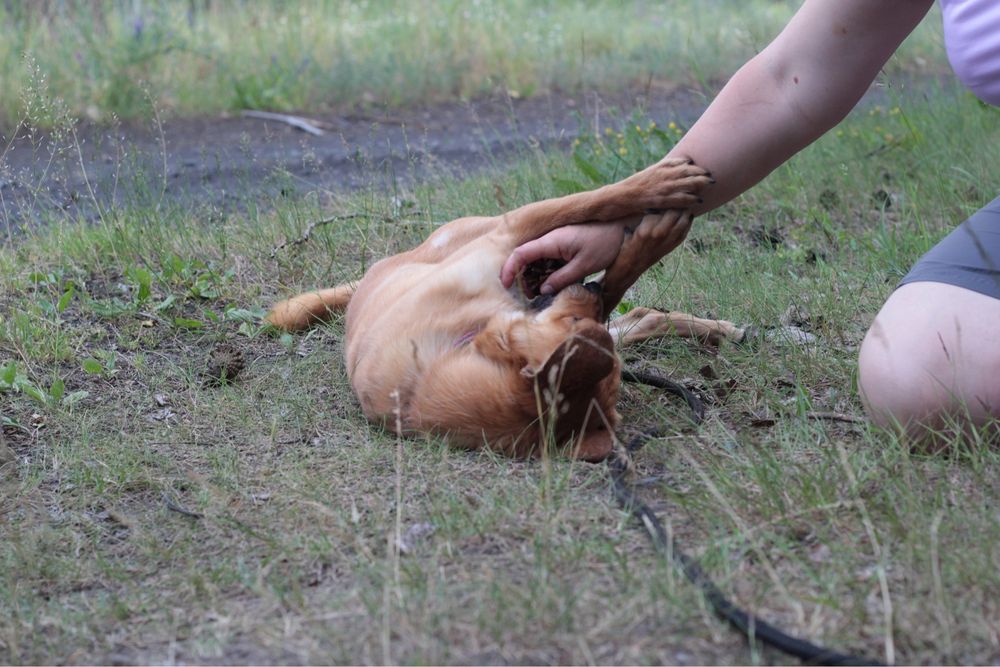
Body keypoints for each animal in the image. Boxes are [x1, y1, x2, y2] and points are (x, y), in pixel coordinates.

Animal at [266, 157, 744, 462]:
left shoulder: (514, 244)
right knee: (629, 305)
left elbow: (592, 202)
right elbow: (595, 201)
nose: (587, 295)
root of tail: (380, 266)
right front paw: (659, 198)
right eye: (576, 322)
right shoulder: (509, 235)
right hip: (499, 230)